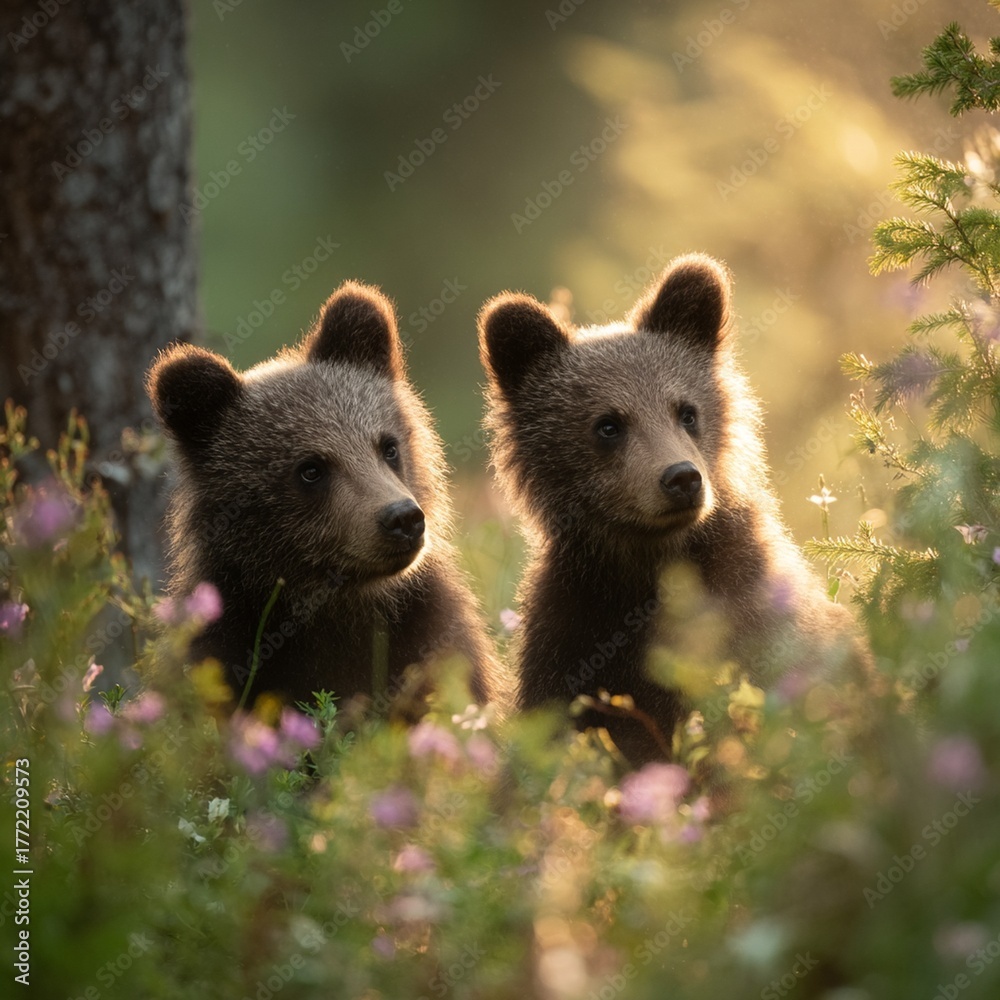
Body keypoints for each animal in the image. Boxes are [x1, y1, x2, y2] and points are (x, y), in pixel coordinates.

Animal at [147, 280, 499, 714]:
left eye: (388, 447)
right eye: (311, 469)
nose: (403, 518)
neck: (336, 608)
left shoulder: (429, 637)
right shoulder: (230, 648)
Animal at [478, 253, 868, 764]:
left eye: (686, 411)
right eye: (608, 424)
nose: (682, 478)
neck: (653, 566)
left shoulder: (756, 614)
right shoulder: (573, 635)